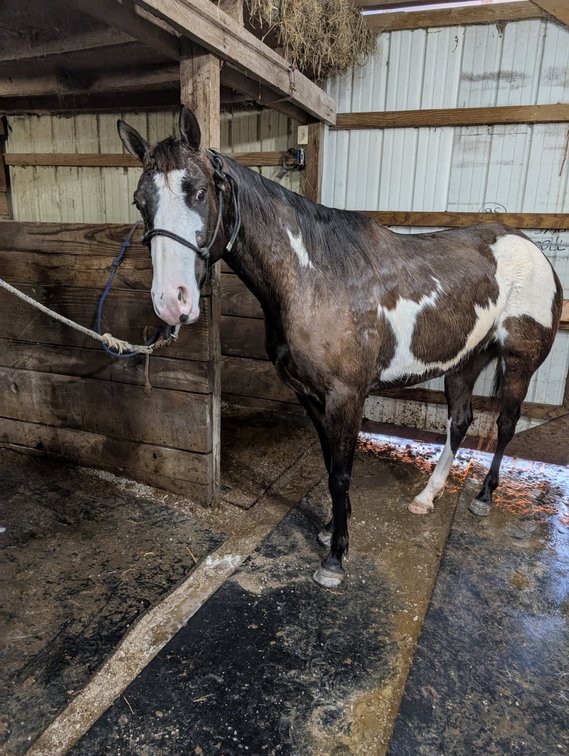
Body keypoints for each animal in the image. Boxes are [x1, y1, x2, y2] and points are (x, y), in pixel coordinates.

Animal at [118, 107, 563, 588]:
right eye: (141, 202)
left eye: (199, 192)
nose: (171, 301)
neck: (315, 278)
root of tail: (535, 251)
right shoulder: (311, 396)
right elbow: (331, 465)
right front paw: (332, 528)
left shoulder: (346, 397)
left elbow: (342, 474)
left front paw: (335, 559)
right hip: (465, 360)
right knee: (460, 422)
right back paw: (426, 497)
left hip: (518, 363)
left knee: (505, 424)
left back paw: (483, 497)